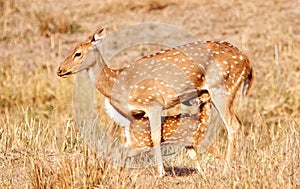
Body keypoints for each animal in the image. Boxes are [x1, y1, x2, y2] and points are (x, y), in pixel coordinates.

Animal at [56, 27, 253, 176]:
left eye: (78, 53)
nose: (60, 70)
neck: (118, 83)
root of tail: (247, 62)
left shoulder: (153, 102)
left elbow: (156, 137)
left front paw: (161, 172)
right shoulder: (136, 115)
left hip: (222, 87)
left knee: (233, 125)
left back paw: (227, 169)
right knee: (237, 123)